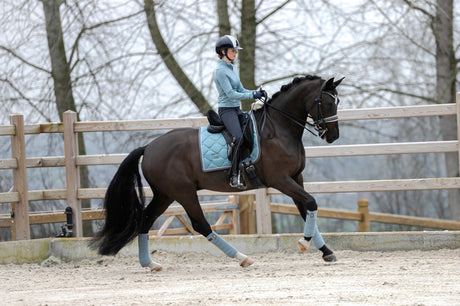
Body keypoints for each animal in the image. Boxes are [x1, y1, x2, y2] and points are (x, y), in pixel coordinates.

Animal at [92, 75, 342, 272]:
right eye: (328, 102)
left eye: (337, 101)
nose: (334, 136)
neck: (279, 129)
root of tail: (149, 147)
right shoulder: (280, 179)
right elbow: (311, 203)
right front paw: (304, 243)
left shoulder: (296, 177)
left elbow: (306, 208)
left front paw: (326, 251)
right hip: (183, 192)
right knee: (200, 225)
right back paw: (242, 258)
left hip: (165, 194)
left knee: (145, 219)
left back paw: (150, 264)